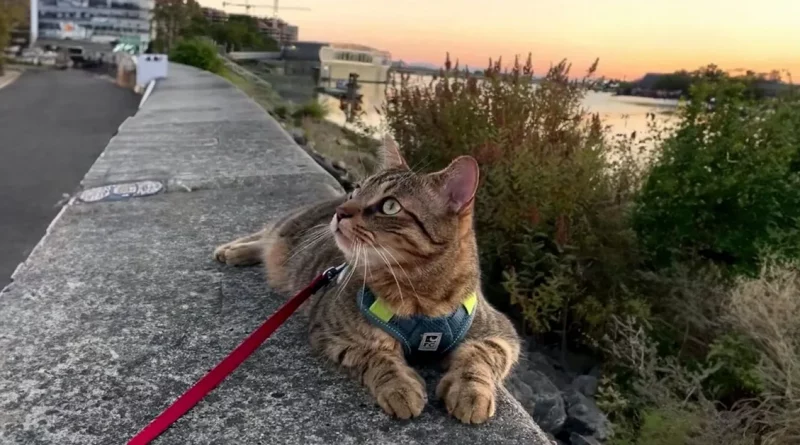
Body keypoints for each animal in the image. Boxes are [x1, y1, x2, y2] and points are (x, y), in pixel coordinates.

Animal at [212, 136, 520, 424]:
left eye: (390, 206)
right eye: (358, 189)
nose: (341, 211)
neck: (419, 297)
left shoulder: (500, 334)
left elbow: (478, 356)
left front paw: (471, 392)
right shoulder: (332, 332)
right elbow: (376, 356)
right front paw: (399, 387)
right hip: (286, 231)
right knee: (263, 235)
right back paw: (232, 250)